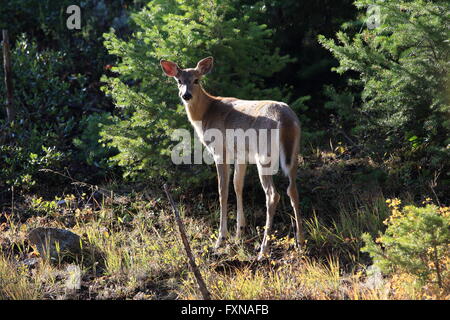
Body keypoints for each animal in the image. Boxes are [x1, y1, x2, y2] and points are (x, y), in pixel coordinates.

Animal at [160, 55, 304, 260]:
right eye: (179, 81)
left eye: (197, 80)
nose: (186, 95)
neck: (205, 113)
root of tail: (286, 120)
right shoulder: (241, 155)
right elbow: (237, 185)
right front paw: (239, 232)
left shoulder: (220, 151)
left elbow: (223, 190)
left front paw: (221, 238)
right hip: (294, 152)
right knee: (293, 190)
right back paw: (300, 241)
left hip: (264, 155)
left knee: (272, 195)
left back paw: (263, 250)